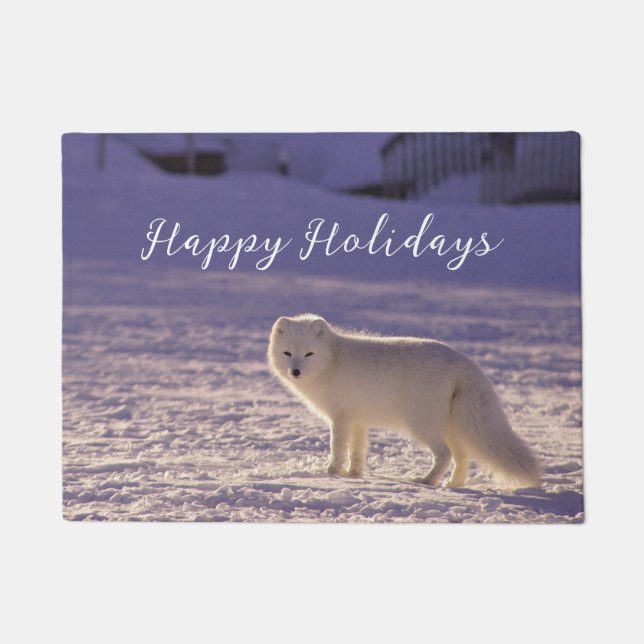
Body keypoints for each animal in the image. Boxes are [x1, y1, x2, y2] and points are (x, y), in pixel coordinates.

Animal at [268, 314, 541, 489]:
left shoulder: (340, 418)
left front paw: (331, 473)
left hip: (422, 424)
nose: (295, 372)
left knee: (445, 454)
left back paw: (427, 481)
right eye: (288, 353)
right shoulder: (358, 419)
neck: (332, 360)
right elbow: (357, 450)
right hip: (452, 426)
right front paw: (354, 474)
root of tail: (465, 363)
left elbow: (337, 448)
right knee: (462, 456)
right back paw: (454, 484)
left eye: (309, 354)